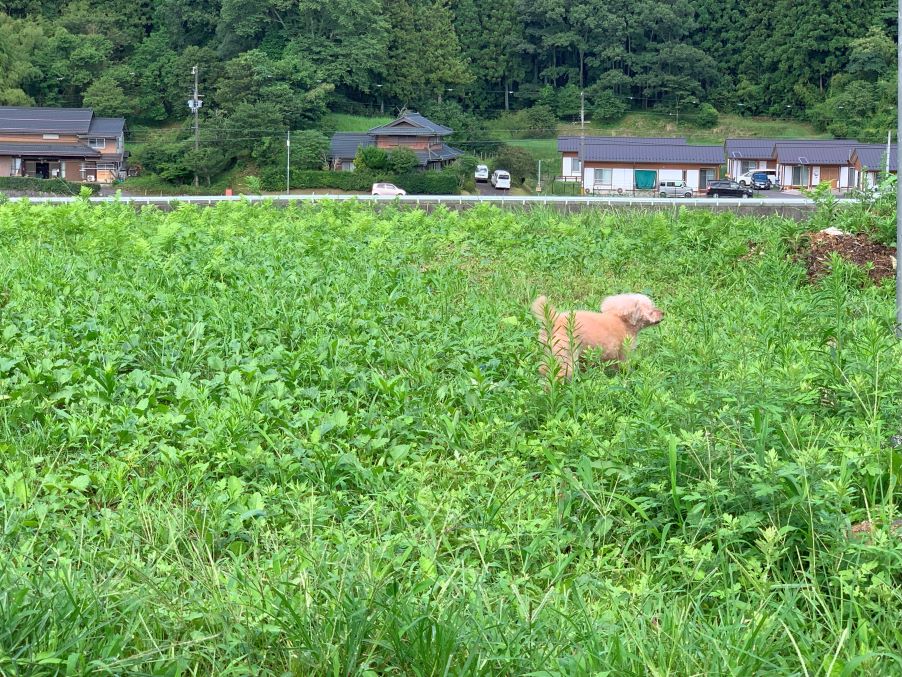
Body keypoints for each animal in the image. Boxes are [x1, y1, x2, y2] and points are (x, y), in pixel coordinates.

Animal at [531, 293, 664, 380]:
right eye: (651, 310)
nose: (663, 313)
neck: (624, 322)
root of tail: (554, 320)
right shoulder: (623, 353)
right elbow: (623, 367)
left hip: (551, 351)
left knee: (544, 368)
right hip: (565, 353)